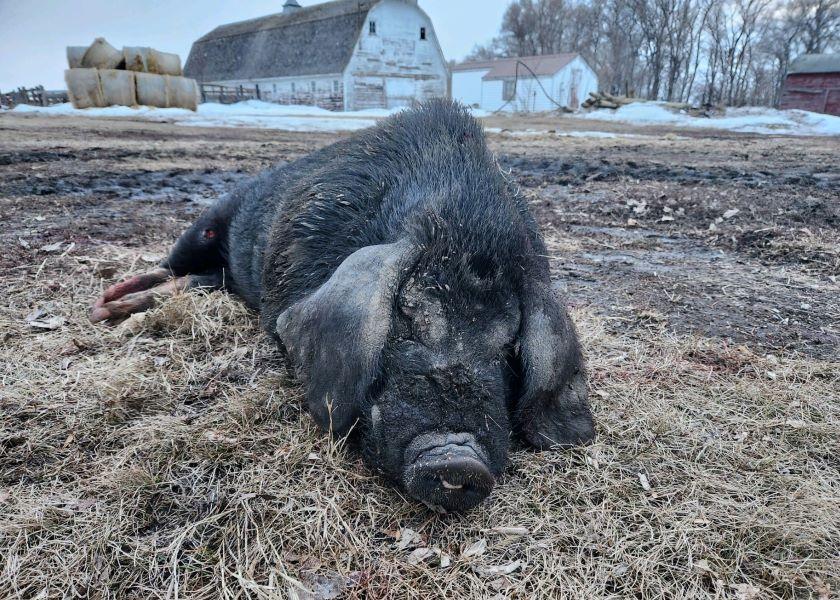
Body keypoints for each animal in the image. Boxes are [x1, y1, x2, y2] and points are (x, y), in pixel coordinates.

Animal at [91, 100, 595, 513]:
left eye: (508, 347)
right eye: (405, 317)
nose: (457, 457)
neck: (460, 223)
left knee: (199, 281)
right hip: (206, 222)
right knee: (171, 266)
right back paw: (106, 307)